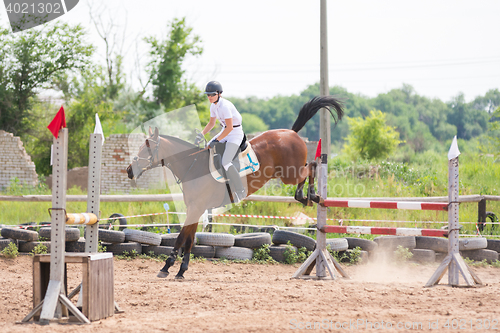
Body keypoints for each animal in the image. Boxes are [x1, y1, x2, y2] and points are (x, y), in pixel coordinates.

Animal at [126, 95, 344, 278]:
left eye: (146, 149)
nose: (129, 170)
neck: (192, 165)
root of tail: (291, 132)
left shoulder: (196, 208)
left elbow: (181, 238)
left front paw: (166, 267)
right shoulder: (195, 208)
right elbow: (189, 239)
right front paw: (181, 270)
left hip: (289, 174)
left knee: (311, 167)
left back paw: (310, 194)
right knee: (309, 167)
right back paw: (308, 195)